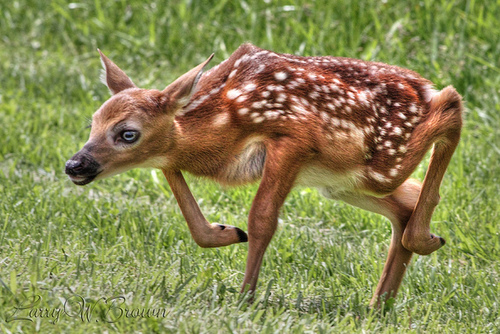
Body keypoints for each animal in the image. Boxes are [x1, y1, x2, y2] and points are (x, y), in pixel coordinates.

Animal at [64, 43, 462, 306]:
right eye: (93, 122)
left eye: (128, 133)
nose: (75, 165)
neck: (224, 120)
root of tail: (422, 89)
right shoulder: (180, 155)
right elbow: (172, 171)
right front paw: (225, 233)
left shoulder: (293, 139)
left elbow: (262, 220)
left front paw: (245, 298)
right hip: (343, 183)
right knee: (406, 204)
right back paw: (379, 305)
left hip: (383, 163)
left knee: (451, 106)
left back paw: (423, 241)